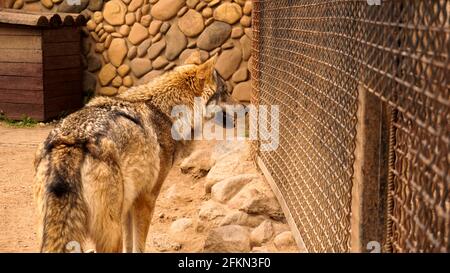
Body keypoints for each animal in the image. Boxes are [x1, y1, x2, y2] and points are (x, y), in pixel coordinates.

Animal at [33, 56, 232, 252]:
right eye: (226, 92)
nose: (240, 110)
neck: (166, 112)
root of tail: (70, 142)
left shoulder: (129, 202)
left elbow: (130, 245)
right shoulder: (147, 198)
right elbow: (139, 245)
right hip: (112, 234)